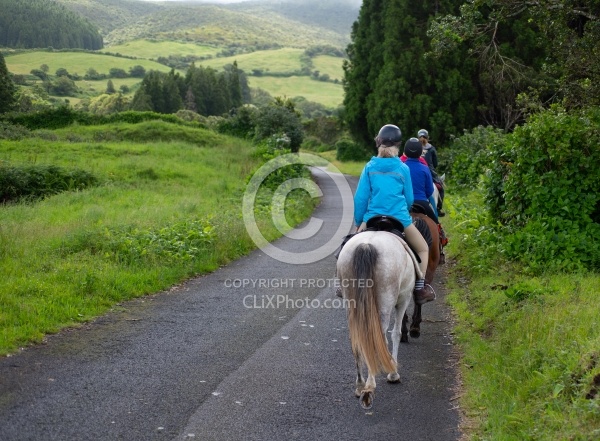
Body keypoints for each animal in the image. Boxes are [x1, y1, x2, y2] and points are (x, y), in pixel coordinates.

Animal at [338, 230, 422, 410]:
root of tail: (366, 245)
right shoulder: (403, 299)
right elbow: (396, 333)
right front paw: (393, 371)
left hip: (351, 302)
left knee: (357, 340)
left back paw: (361, 385)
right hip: (386, 299)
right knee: (376, 338)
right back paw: (370, 388)